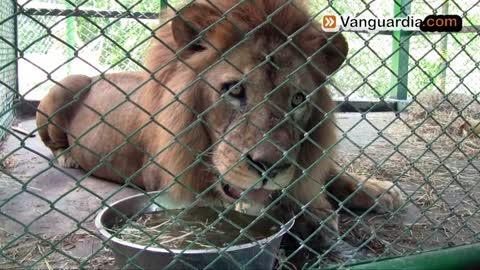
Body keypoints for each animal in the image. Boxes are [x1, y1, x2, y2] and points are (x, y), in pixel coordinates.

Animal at [35, 0, 402, 253]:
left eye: (297, 99)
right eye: (235, 90)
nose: (271, 167)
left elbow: (330, 174)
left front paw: (377, 190)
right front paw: (316, 214)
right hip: (63, 86)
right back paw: (67, 157)